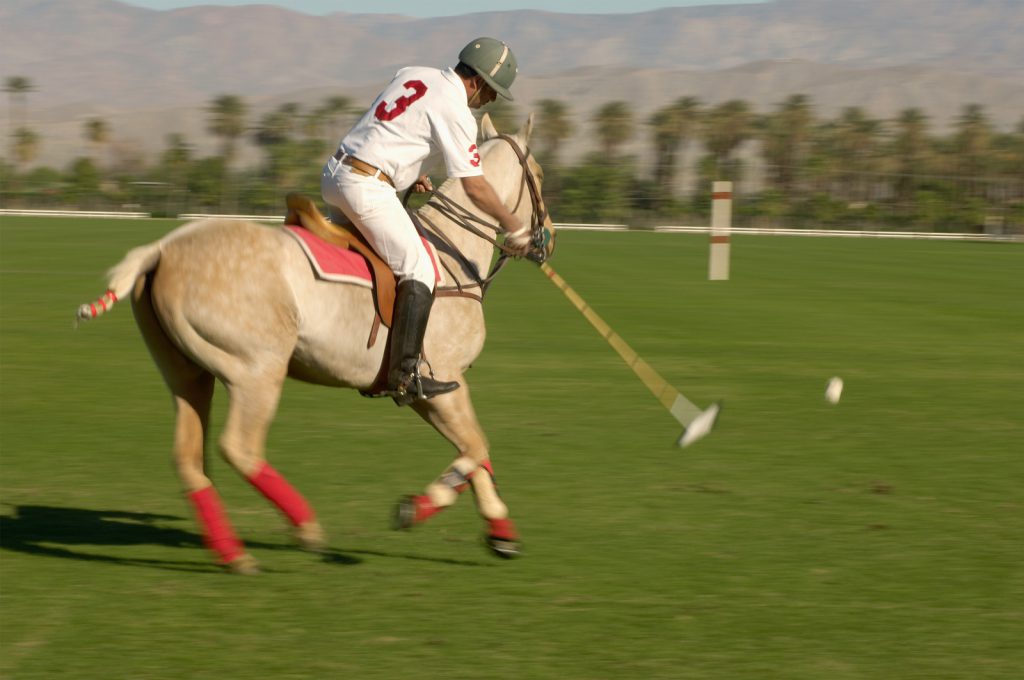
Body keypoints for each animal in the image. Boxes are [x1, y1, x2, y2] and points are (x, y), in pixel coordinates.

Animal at [75, 115, 557, 573]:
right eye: (538, 173)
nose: (547, 239)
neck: (452, 255)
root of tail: (161, 249)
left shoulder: (430, 390)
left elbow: (474, 449)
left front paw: (501, 533)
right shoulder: (443, 382)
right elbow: (475, 448)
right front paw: (418, 507)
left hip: (186, 373)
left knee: (189, 458)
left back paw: (233, 554)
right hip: (256, 371)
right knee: (239, 448)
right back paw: (305, 527)